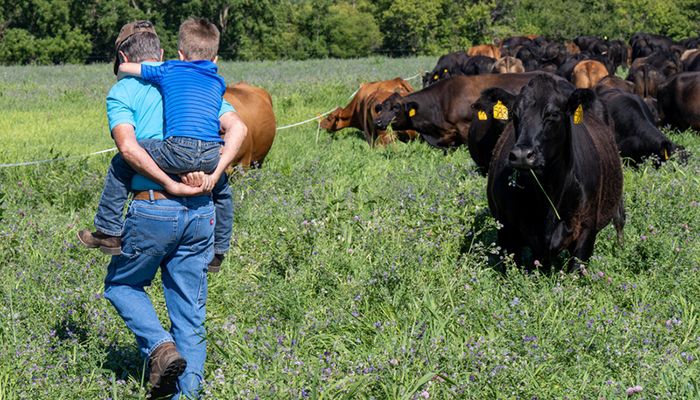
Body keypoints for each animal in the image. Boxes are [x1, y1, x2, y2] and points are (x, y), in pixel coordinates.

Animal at [486, 74, 624, 268]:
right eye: (514, 114)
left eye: (553, 114)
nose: (522, 155)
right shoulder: (506, 230)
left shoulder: (586, 230)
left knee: (620, 220)